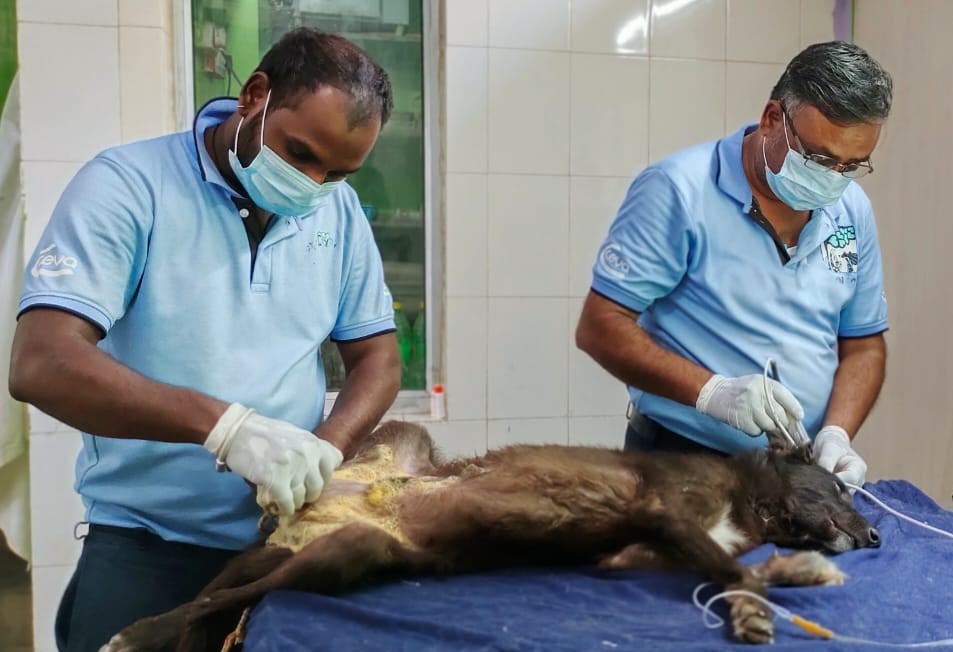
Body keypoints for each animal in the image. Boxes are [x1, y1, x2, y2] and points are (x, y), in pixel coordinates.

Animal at [100, 420, 880, 648]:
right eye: (843, 488)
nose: (875, 538)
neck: (754, 498)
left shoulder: (629, 550)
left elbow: (735, 566)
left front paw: (794, 576)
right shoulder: (667, 511)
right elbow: (737, 568)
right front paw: (765, 600)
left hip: (349, 546)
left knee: (229, 591)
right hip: (337, 542)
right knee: (216, 598)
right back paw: (138, 632)